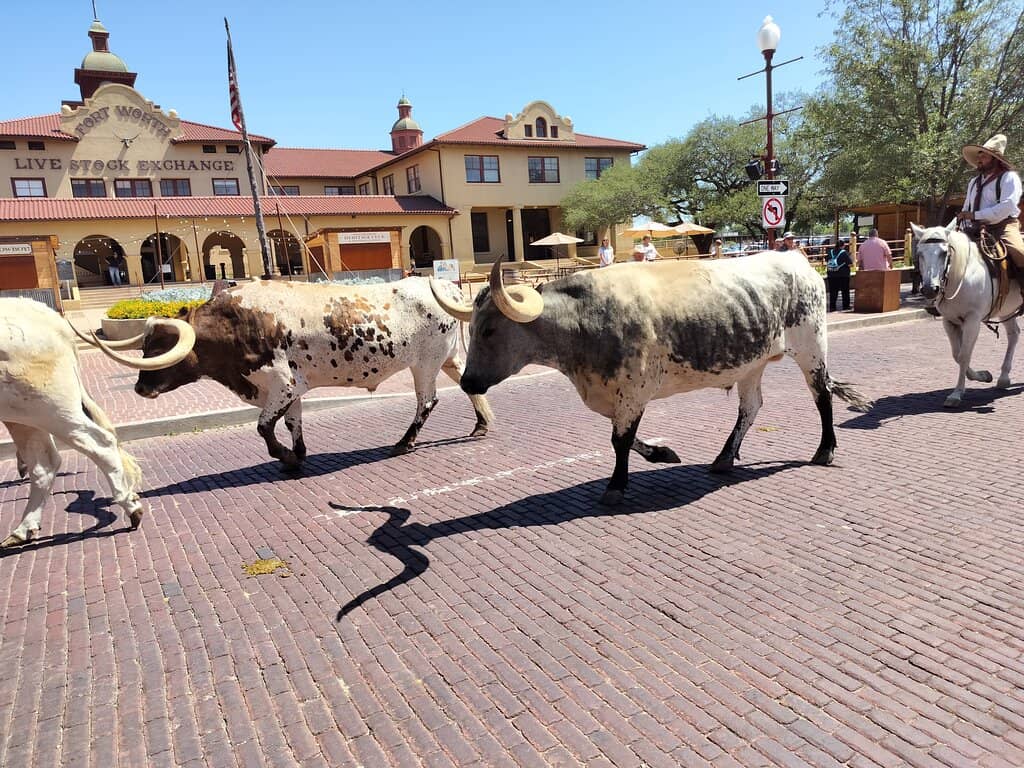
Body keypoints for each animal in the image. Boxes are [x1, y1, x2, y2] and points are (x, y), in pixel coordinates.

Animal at [1, 298, 143, 546]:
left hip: (48, 406)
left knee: (100, 444)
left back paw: (131, 507)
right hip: (23, 413)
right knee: (44, 465)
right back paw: (23, 529)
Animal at [86, 278, 494, 466]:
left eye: (161, 350)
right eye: (146, 346)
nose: (141, 388)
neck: (237, 324)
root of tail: (445, 285)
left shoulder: (281, 384)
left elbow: (265, 426)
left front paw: (284, 456)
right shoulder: (291, 387)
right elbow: (292, 421)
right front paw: (298, 453)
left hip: (425, 364)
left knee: (428, 400)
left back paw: (404, 442)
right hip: (447, 358)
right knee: (470, 385)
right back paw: (481, 425)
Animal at [431, 255, 870, 504]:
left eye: (489, 330)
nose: (468, 383)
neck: (584, 322)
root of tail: (798, 260)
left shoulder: (633, 390)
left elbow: (619, 440)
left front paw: (616, 486)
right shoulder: (616, 394)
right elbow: (625, 437)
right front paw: (662, 454)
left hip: (811, 347)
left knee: (822, 396)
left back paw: (825, 450)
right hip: (752, 363)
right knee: (751, 408)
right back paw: (724, 458)